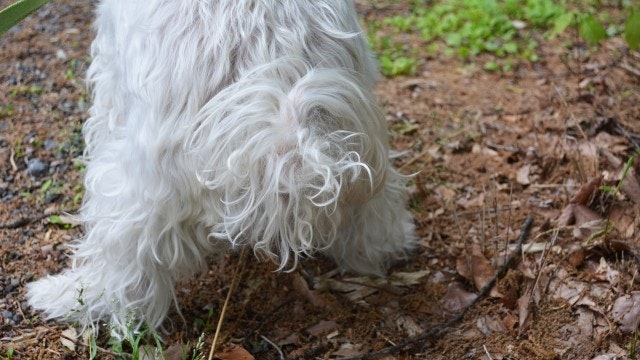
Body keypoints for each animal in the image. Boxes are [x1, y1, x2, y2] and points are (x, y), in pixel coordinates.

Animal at [26, 0, 416, 336]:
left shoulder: (110, 67)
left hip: (133, 184)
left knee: (125, 274)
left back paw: (67, 297)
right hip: (362, 150)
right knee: (372, 217)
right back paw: (379, 253)